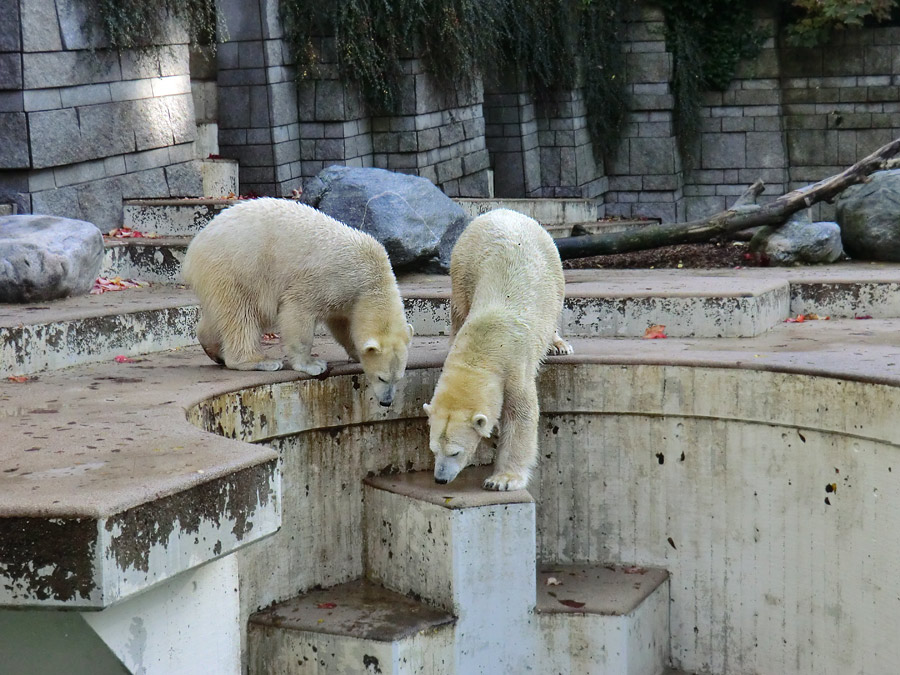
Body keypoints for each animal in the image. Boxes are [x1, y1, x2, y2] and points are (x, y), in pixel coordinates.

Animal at [183, 195, 414, 406]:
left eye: (399, 378)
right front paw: (313, 364)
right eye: (382, 377)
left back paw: (214, 351)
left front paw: (354, 352)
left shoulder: (348, 297)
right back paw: (260, 361)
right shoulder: (329, 280)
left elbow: (342, 323)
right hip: (237, 267)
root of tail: (196, 244)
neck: (370, 275)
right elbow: (298, 310)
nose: (387, 402)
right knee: (242, 314)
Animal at [422, 207, 568, 492]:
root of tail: (501, 210)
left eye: (455, 452)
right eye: (433, 449)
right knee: (458, 305)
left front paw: (502, 480)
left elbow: (521, 416)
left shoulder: (515, 369)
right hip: (463, 262)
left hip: (551, 261)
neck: (484, 346)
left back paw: (558, 344)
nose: (440, 479)